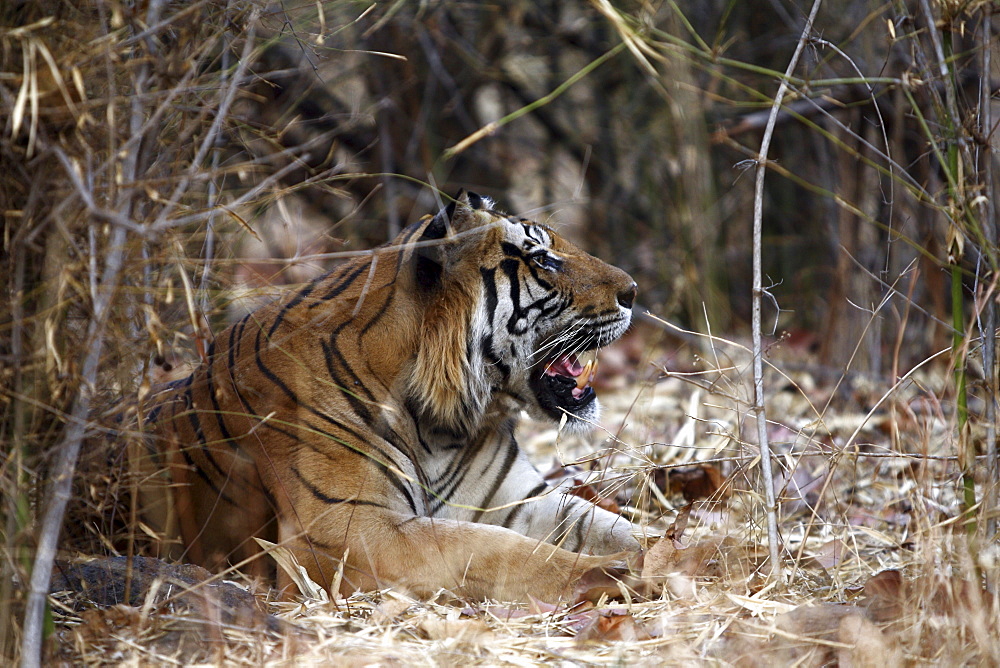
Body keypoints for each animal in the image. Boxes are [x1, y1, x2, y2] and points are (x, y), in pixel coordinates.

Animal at [141, 192, 640, 600]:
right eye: (544, 260)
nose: (634, 291)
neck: (441, 425)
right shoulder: (348, 532)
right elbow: (495, 550)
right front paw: (608, 575)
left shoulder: (515, 499)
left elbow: (610, 525)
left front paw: (655, 556)